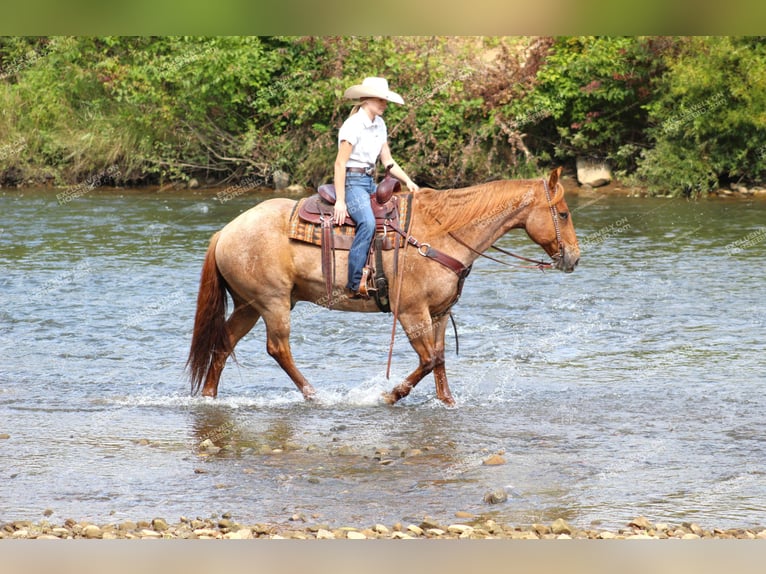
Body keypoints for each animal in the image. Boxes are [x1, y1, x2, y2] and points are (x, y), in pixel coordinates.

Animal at [188, 166, 584, 408]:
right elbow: (428, 359)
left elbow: (440, 359)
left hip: (249, 305)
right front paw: (389, 396)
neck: (441, 232)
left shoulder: (439, 313)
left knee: (224, 342)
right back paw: (315, 396)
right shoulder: (410, 311)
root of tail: (225, 231)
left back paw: (208, 397)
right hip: (273, 303)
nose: (574, 258)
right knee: (278, 349)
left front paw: (448, 403)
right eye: (563, 213)